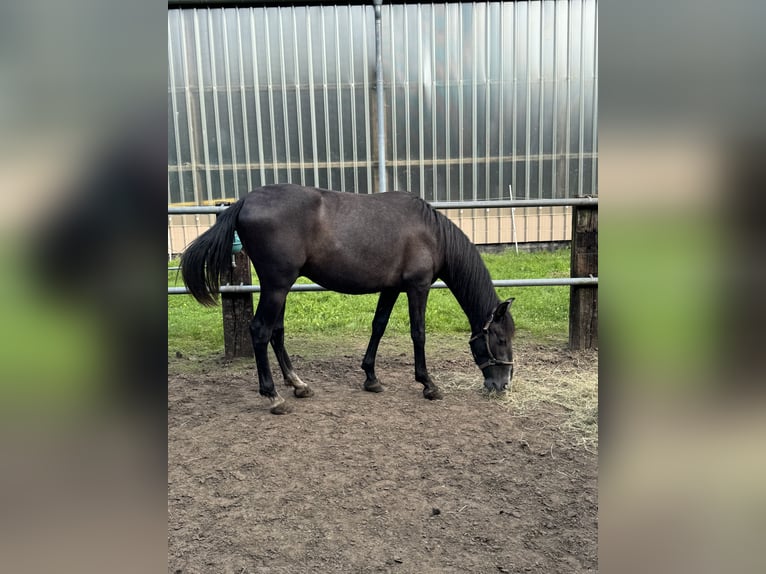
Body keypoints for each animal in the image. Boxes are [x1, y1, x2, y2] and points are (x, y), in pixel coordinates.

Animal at [180, 184, 516, 414]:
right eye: (500, 339)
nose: (502, 384)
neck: (431, 233)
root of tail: (245, 201)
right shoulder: (417, 287)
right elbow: (418, 333)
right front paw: (428, 384)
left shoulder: (391, 288)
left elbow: (378, 326)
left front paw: (371, 378)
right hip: (276, 285)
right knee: (261, 331)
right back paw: (274, 397)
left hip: (279, 286)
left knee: (276, 332)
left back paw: (297, 384)